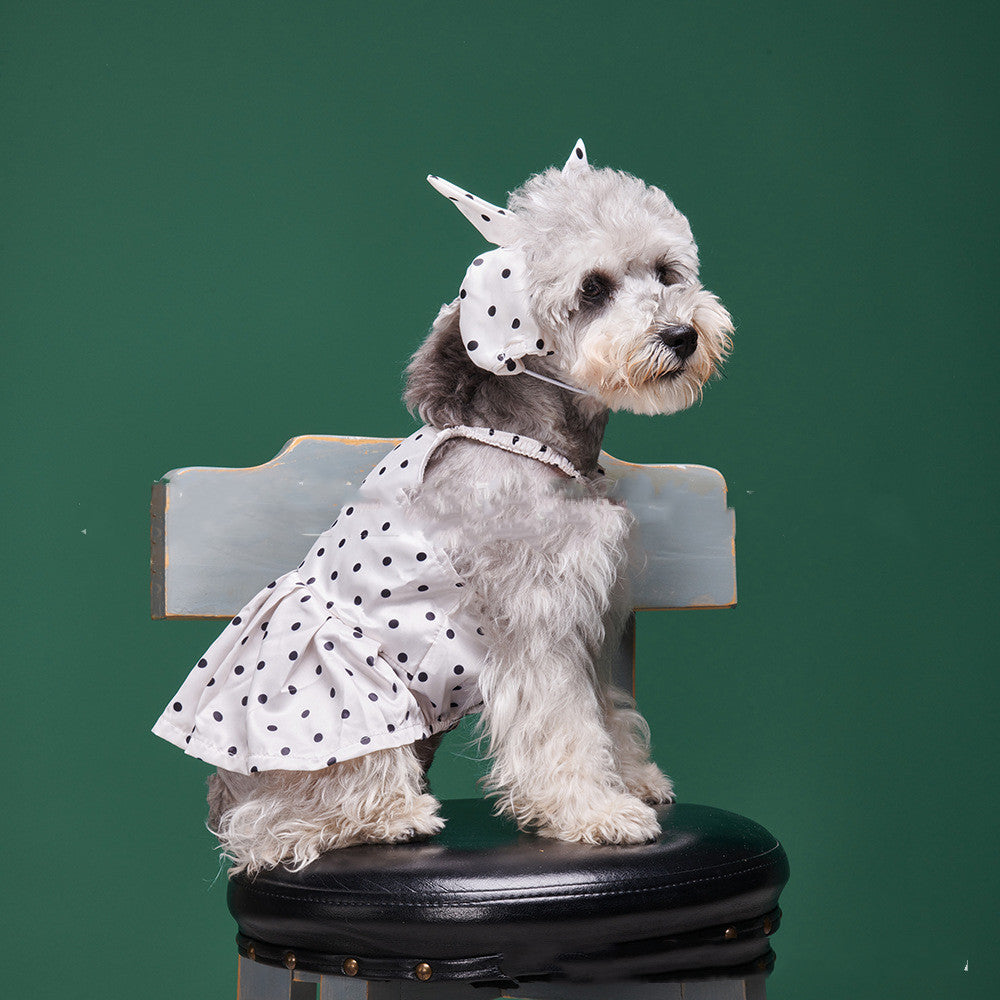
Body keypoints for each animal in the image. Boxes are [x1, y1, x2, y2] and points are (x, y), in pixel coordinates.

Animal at [152, 141, 732, 876]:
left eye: (664, 270)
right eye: (593, 289)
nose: (682, 334)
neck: (532, 439)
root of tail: (220, 796)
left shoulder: (595, 616)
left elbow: (607, 712)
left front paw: (632, 780)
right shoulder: (538, 625)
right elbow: (565, 726)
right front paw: (594, 811)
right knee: (275, 829)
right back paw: (393, 815)